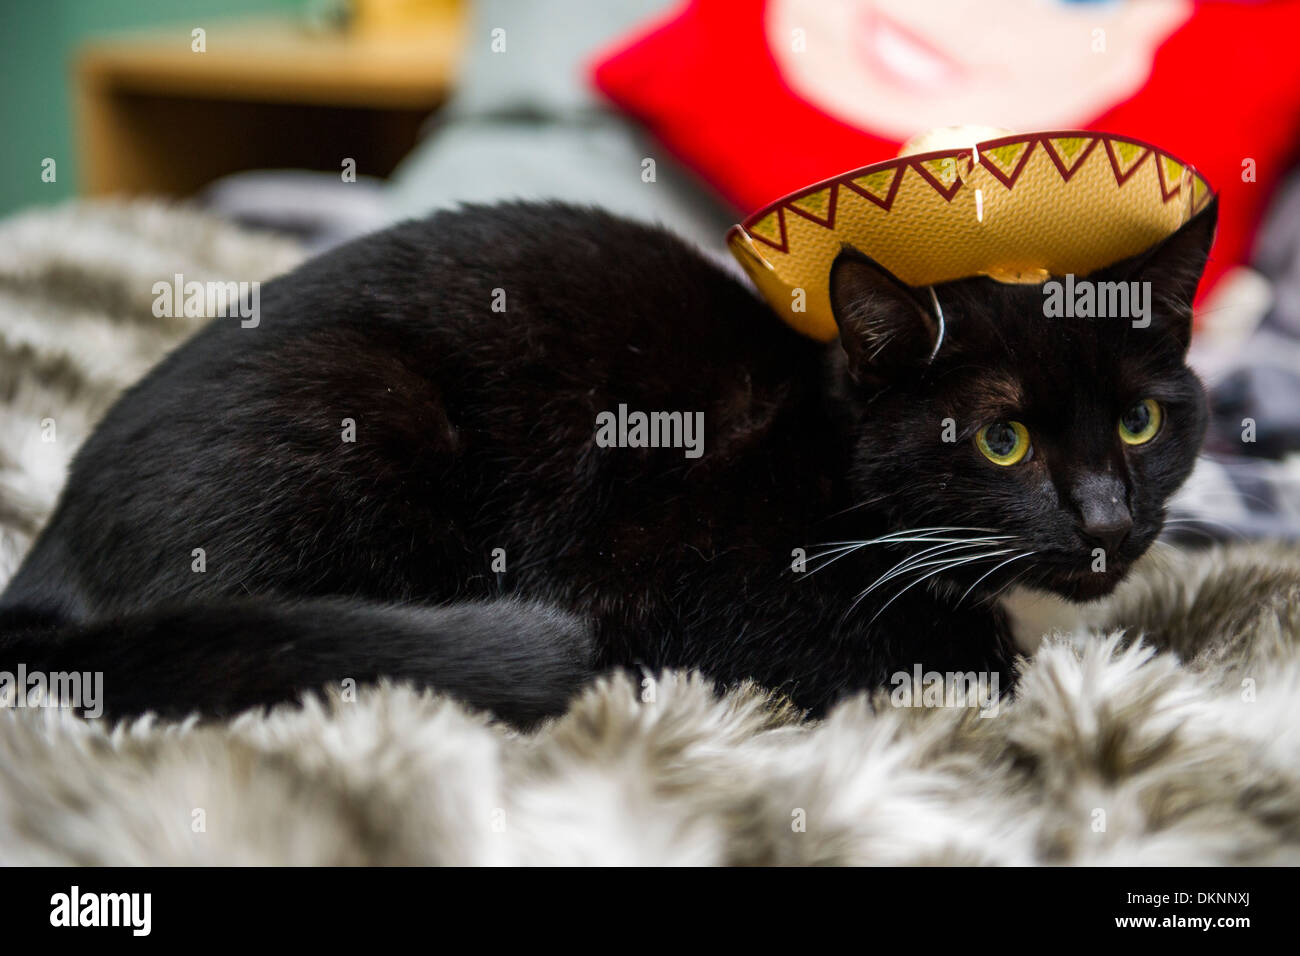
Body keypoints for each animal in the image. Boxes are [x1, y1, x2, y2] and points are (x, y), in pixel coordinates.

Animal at [0, 204, 1216, 723]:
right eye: (1001, 437)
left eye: (1140, 423)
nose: (1106, 519)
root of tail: (47, 557)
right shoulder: (657, 569)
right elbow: (951, 654)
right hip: (367, 418)